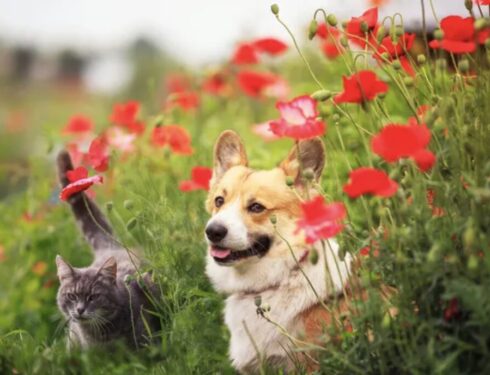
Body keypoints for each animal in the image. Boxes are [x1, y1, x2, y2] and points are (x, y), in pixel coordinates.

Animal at [55, 151, 159, 352]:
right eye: (71, 296)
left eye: (93, 297)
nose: (80, 310)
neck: (99, 334)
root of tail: (110, 248)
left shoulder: (143, 339)